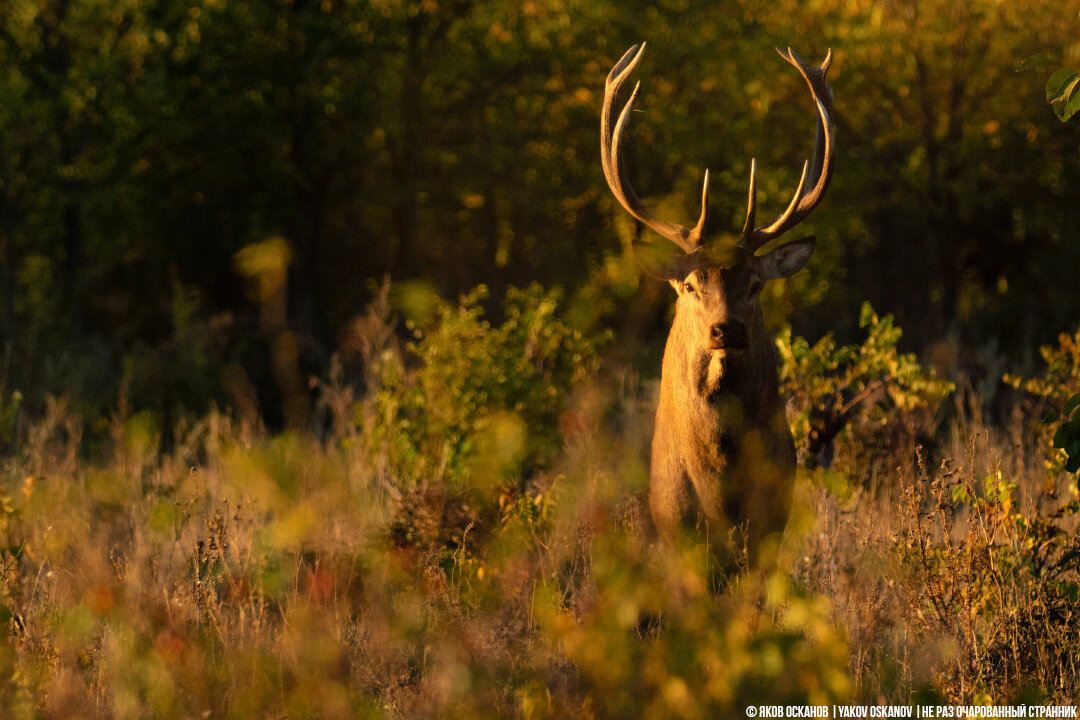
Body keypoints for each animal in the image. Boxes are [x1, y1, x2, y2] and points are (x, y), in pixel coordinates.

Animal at [604, 43, 838, 574]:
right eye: (691, 285)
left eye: (755, 284)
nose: (725, 329)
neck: (720, 484)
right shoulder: (675, 525)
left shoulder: (772, 519)